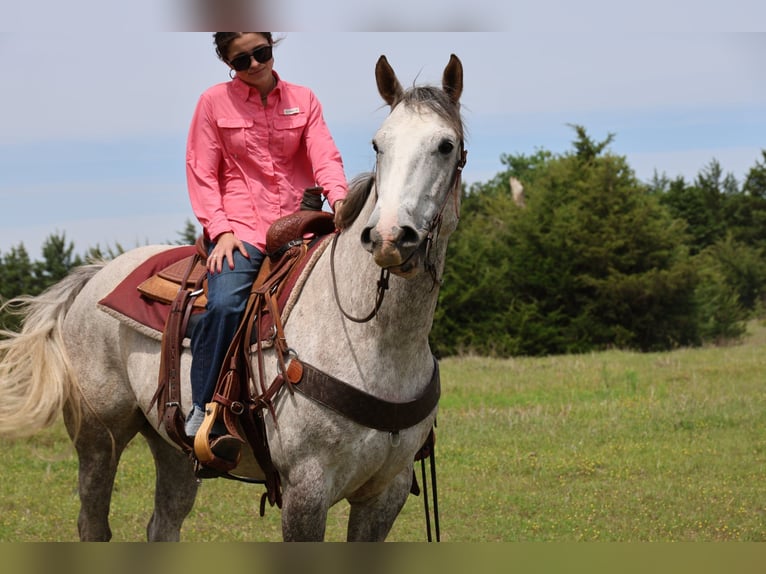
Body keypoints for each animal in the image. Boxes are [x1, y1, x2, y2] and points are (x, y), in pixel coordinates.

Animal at [0, 53, 466, 542]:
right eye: (379, 145)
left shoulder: (386, 493)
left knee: (162, 523)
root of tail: (95, 277)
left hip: (171, 446)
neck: (376, 342)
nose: (390, 237)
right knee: (93, 522)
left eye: (446, 145)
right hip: (98, 437)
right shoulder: (306, 490)